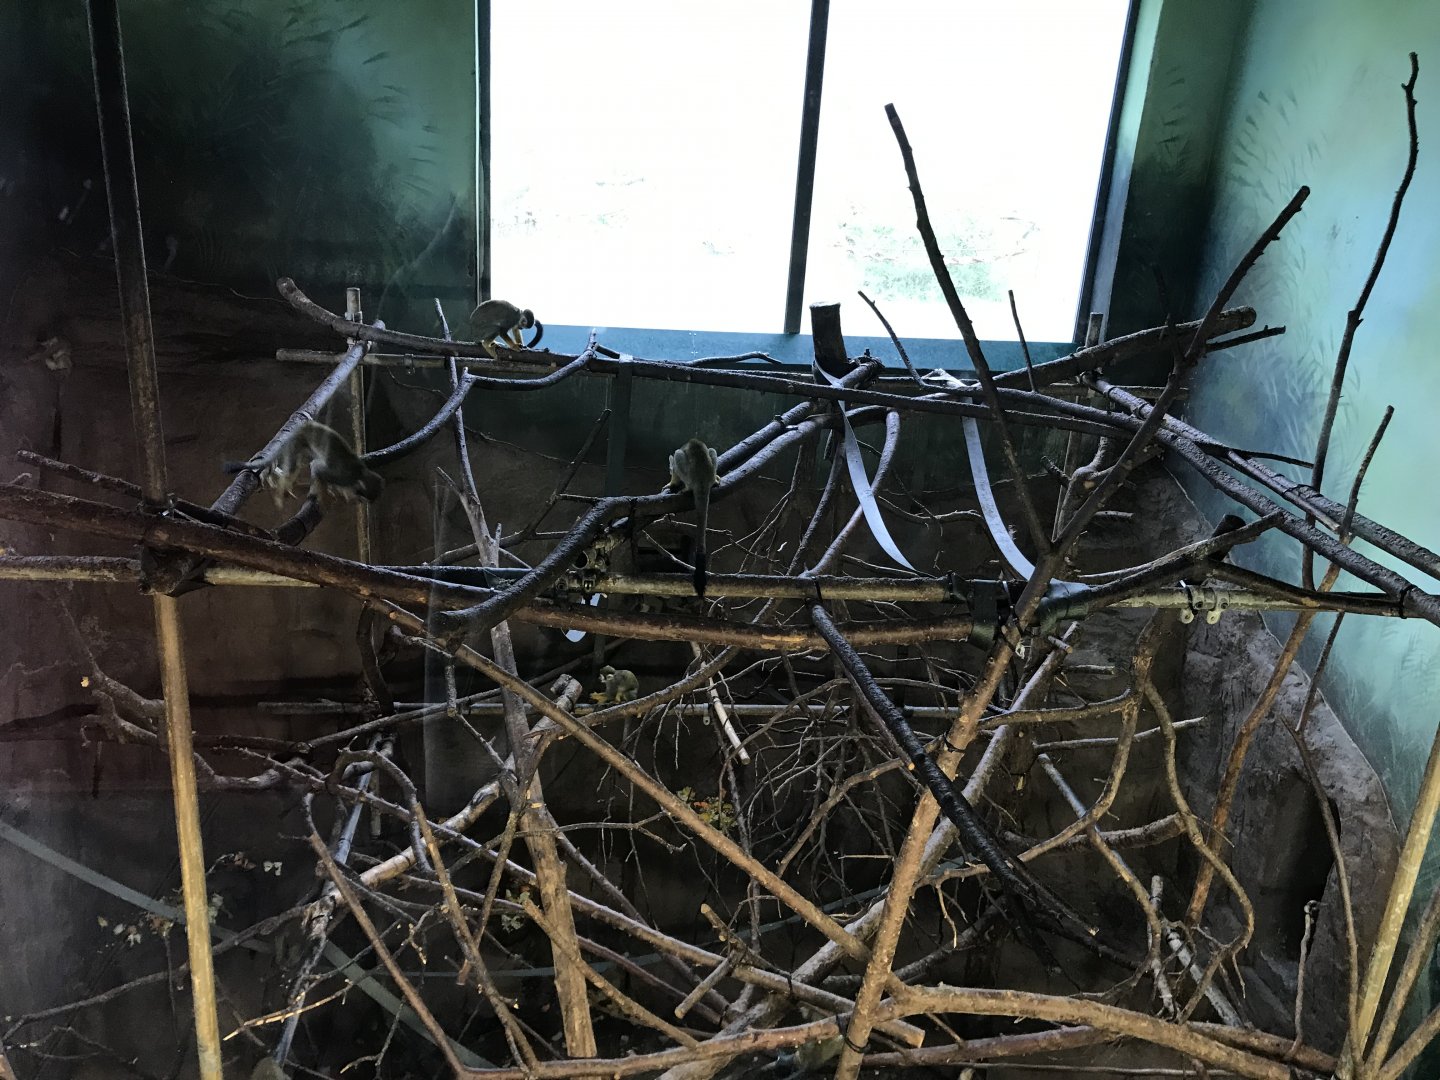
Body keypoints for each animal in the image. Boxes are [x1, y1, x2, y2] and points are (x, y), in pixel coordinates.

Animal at [224, 421, 384, 508]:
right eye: (365, 498)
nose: (366, 502)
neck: (360, 474)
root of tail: (304, 426)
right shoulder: (344, 477)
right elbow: (318, 467)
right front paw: (320, 493)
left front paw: (342, 492)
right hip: (297, 440)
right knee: (294, 465)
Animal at [667, 438, 718, 597]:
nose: (669, 470)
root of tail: (702, 480)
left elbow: (675, 471)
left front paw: (671, 484)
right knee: (712, 450)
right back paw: (715, 480)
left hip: (688, 474)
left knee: (678, 454)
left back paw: (686, 488)